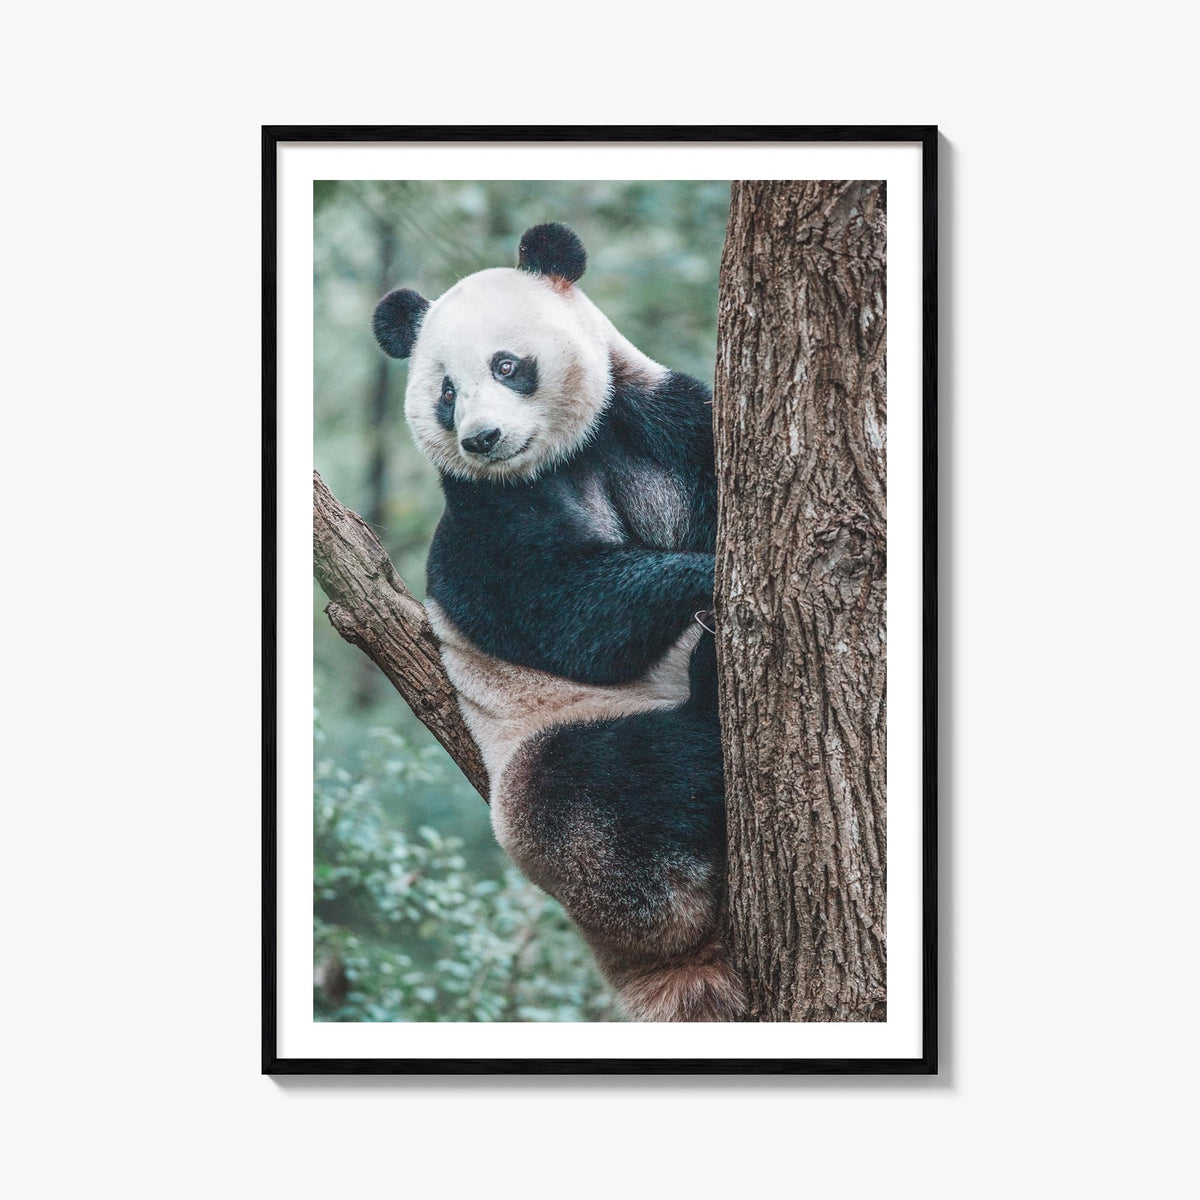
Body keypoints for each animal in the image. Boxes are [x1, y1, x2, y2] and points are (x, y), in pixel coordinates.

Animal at [373, 223, 743, 1022]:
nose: (482, 438)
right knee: (613, 784)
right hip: (544, 783)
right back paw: (702, 699)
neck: (565, 456)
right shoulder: (481, 523)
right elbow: (567, 613)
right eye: (445, 392)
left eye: (507, 365)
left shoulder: (662, 422)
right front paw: (705, 577)